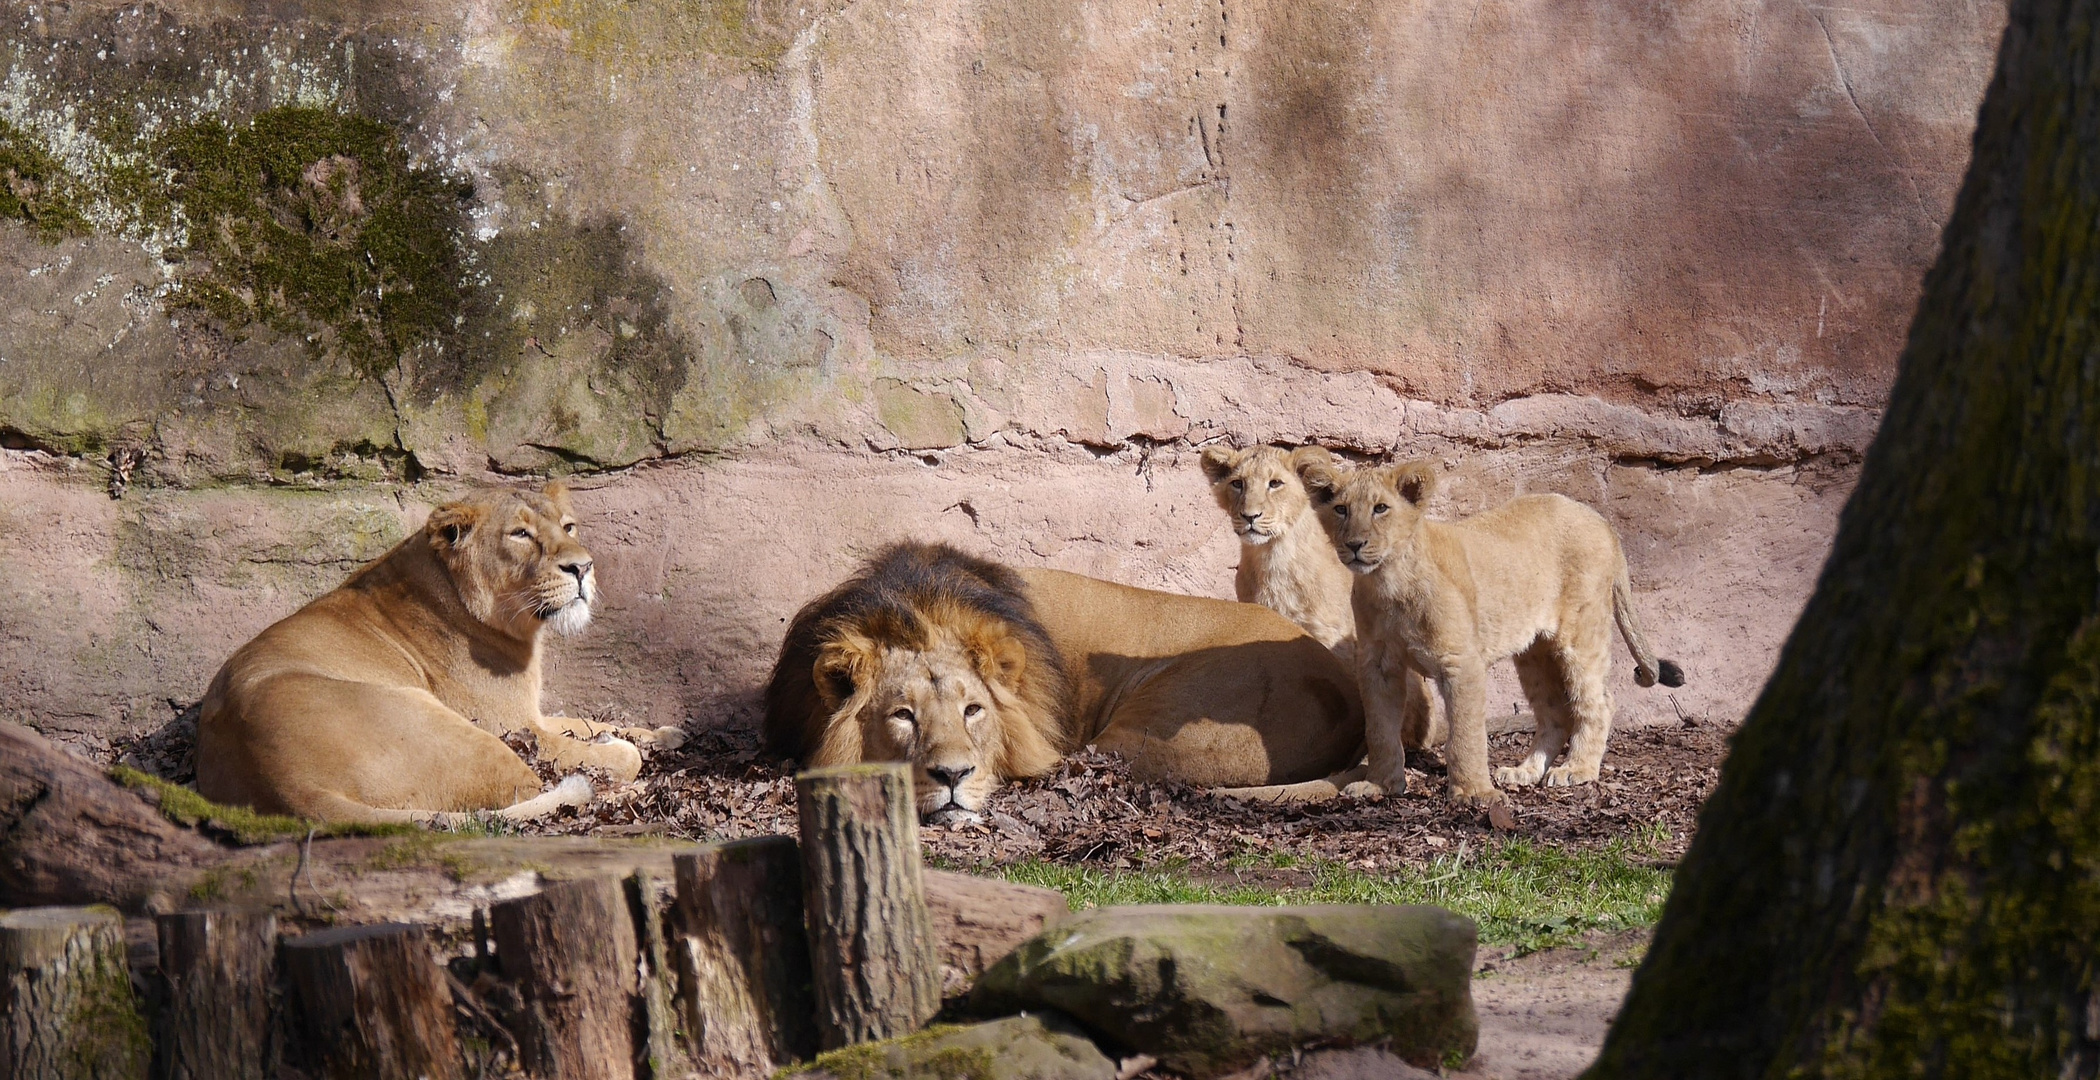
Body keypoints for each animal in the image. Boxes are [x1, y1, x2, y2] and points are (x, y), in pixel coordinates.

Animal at [194, 483, 676, 819]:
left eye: (569, 526)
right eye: (520, 533)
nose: (583, 567)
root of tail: (286, 786)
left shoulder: (533, 715)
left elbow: (591, 722)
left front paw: (664, 734)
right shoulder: (515, 726)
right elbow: (596, 749)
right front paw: (623, 749)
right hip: (457, 729)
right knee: (533, 787)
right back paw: (630, 793)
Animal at [1293, 453, 1688, 798]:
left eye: (1380, 508)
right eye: (1341, 509)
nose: (1354, 544)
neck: (1388, 581)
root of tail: (1603, 522)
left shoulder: (1461, 662)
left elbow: (1465, 735)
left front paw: (1473, 793)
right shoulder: (1378, 665)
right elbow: (1380, 730)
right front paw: (1379, 785)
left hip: (1580, 633)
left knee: (1599, 701)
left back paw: (1577, 770)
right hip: (1533, 653)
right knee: (1555, 713)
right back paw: (1526, 771)